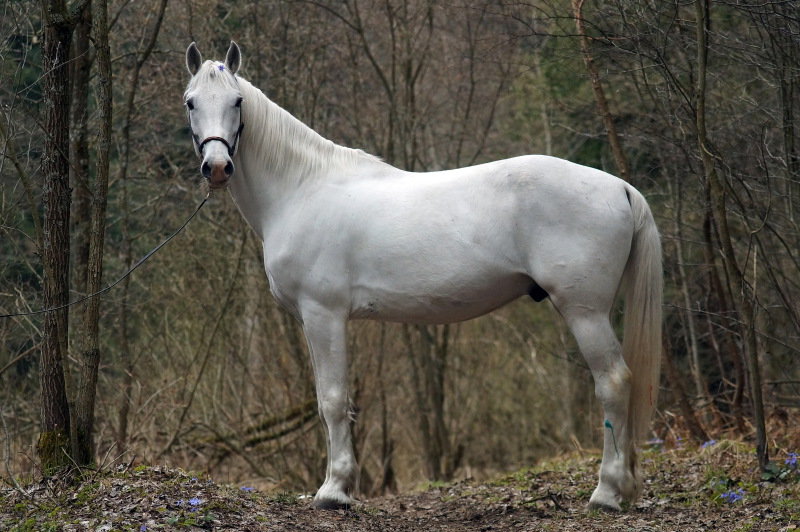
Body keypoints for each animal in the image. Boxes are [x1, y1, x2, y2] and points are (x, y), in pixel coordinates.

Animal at [183, 42, 664, 512]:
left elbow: (333, 401)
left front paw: (334, 491)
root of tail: (619, 187)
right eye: (191, 102)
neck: (301, 189)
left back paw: (607, 493)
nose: (218, 167)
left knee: (613, 382)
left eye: (237, 101)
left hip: (585, 311)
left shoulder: (323, 314)